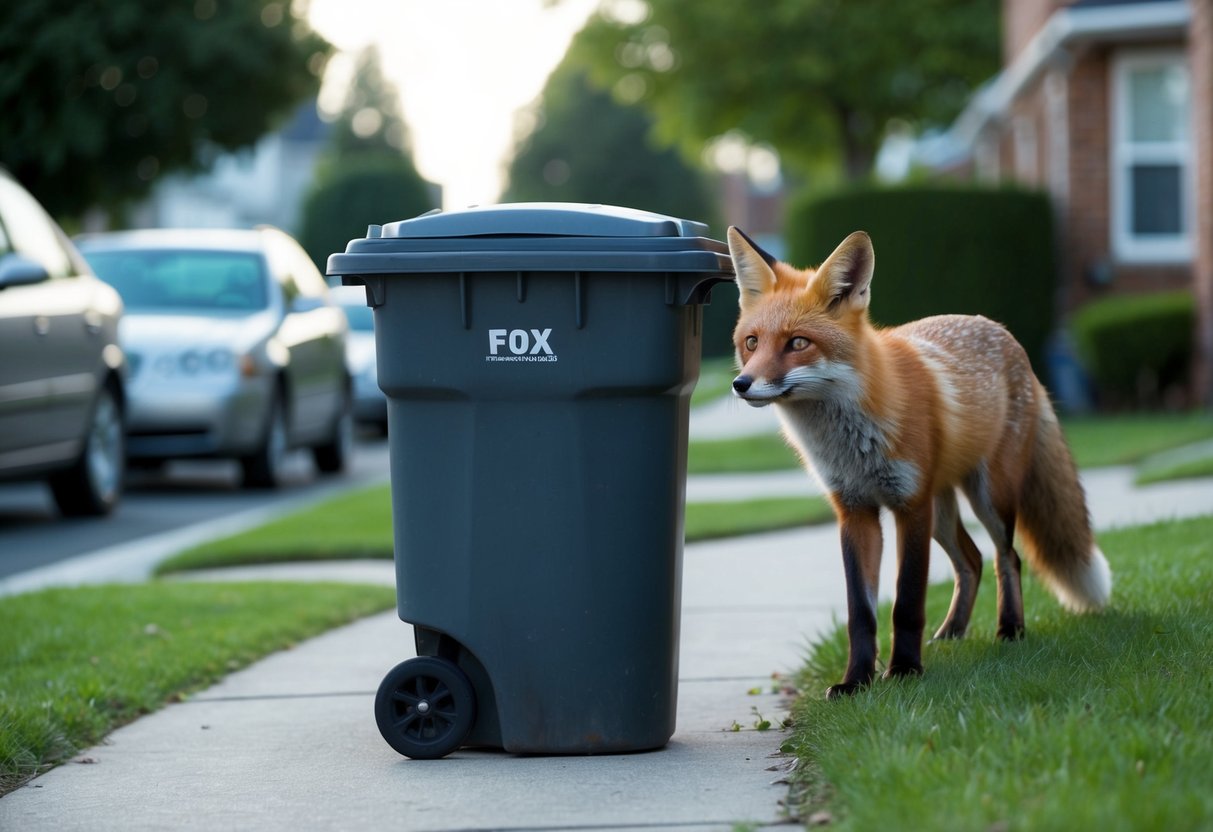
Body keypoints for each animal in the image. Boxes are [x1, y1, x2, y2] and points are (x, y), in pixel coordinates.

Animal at [726, 227, 1112, 699]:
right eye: (752, 342)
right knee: (971, 560)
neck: (850, 443)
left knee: (1007, 558)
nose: (741, 384)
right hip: (940, 512)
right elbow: (861, 613)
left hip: (987, 497)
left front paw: (905, 670)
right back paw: (953, 632)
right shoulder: (855, 511)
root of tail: (1001, 331)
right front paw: (856, 681)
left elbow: (906, 602)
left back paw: (1010, 630)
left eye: (798, 343)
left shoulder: (909, 507)